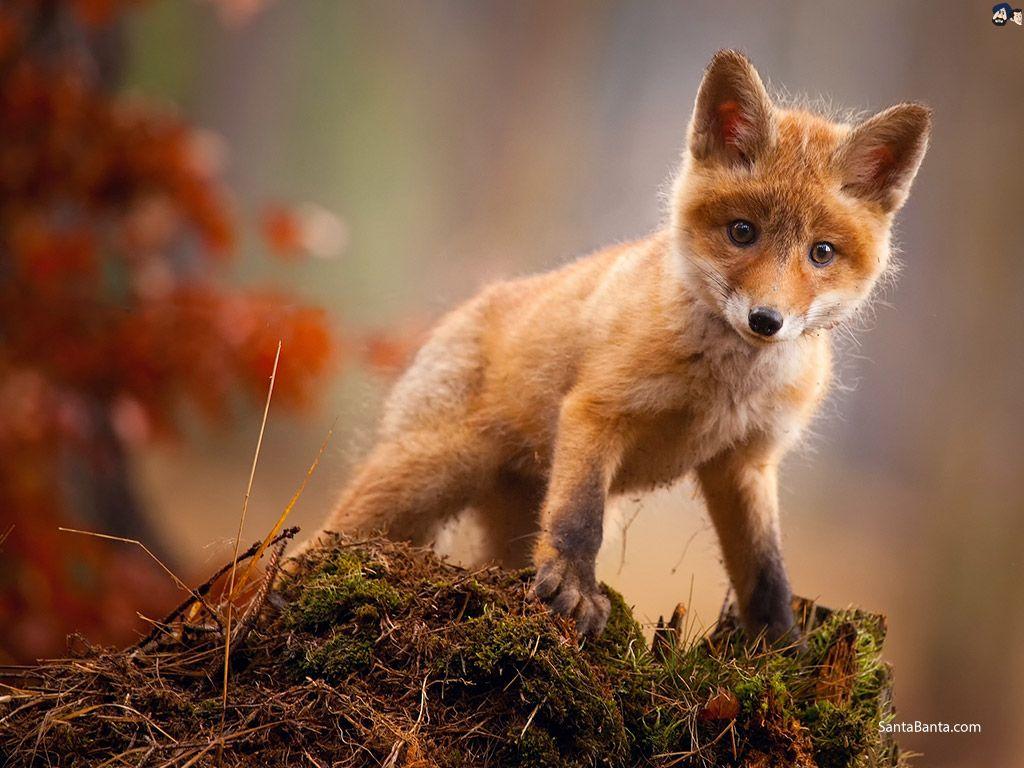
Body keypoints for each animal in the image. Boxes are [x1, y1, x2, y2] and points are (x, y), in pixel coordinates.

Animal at [298, 50, 930, 641]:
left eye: (821, 253)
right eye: (742, 232)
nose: (766, 320)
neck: (724, 386)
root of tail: (465, 310)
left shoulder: (745, 462)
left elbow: (766, 571)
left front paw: (781, 650)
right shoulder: (598, 410)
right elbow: (581, 519)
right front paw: (575, 592)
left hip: (504, 518)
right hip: (428, 473)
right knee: (320, 539)